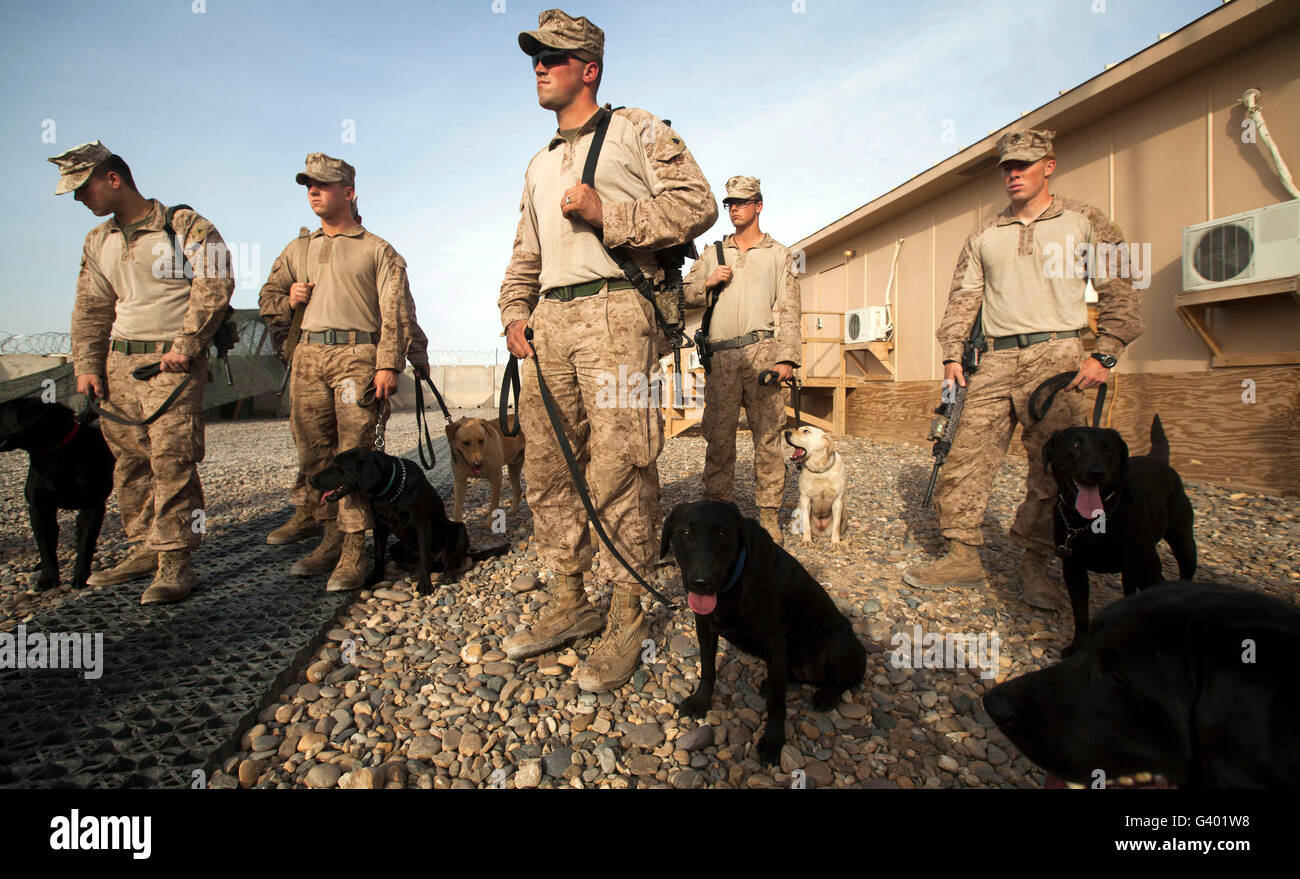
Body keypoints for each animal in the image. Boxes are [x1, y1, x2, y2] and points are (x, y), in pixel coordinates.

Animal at [0, 397, 114, 590]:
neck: (55, 454)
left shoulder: (93, 505)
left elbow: (86, 543)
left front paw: (81, 576)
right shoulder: (39, 508)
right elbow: (45, 546)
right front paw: (48, 578)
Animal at [306, 452, 504, 590]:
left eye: (338, 466)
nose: (310, 479)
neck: (390, 493)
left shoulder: (422, 525)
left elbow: (424, 556)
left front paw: (425, 585)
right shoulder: (380, 528)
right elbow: (379, 556)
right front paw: (376, 578)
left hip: (459, 530)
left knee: (448, 561)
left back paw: (446, 574)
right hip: (396, 547)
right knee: (423, 563)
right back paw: (415, 574)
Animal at [665, 501, 868, 764]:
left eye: (722, 534)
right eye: (685, 532)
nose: (701, 582)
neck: (734, 583)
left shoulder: (775, 641)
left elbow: (777, 702)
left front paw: (773, 740)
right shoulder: (705, 627)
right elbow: (708, 669)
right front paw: (701, 701)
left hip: (838, 641)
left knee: (848, 678)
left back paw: (828, 695)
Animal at [1045, 413, 1196, 652]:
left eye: (1108, 448)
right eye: (1074, 445)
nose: (1096, 472)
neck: (1092, 521)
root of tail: (1158, 460)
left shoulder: (1149, 570)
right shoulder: (1073, 568)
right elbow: (1081, 614)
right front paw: (1077, 646)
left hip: (1183, 545)